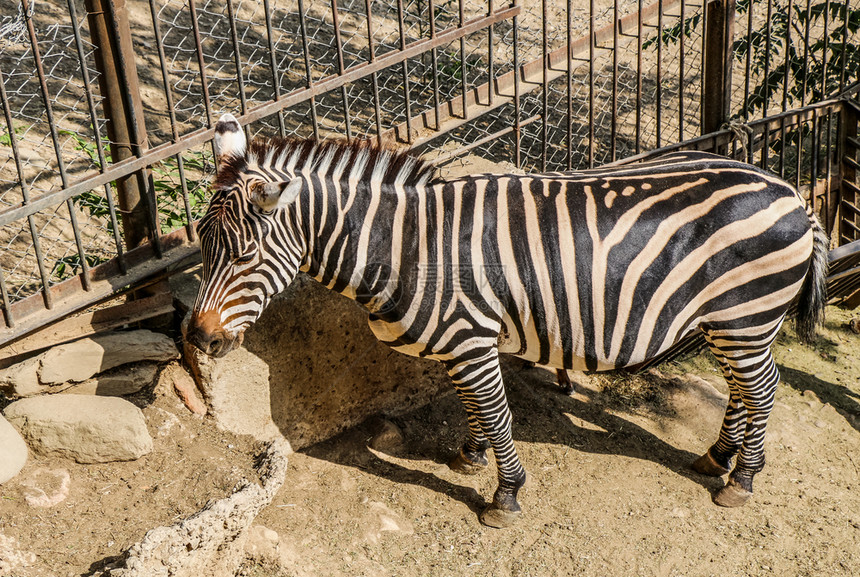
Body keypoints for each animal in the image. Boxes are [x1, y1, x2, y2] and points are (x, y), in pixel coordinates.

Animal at [186, 112, 828, 528]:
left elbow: (495, 414)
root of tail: (792, 191)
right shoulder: (463, 343)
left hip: (745, 315)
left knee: (763, 390)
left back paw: (741, 481)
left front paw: (505, 496)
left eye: (244, 255)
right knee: (743, 390)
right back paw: (718, 458)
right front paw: (469, 457)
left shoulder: (471, 338)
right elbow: (474, 408)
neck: (409, 246)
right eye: (202, 244)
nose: (197, 338)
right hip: (732, 322)